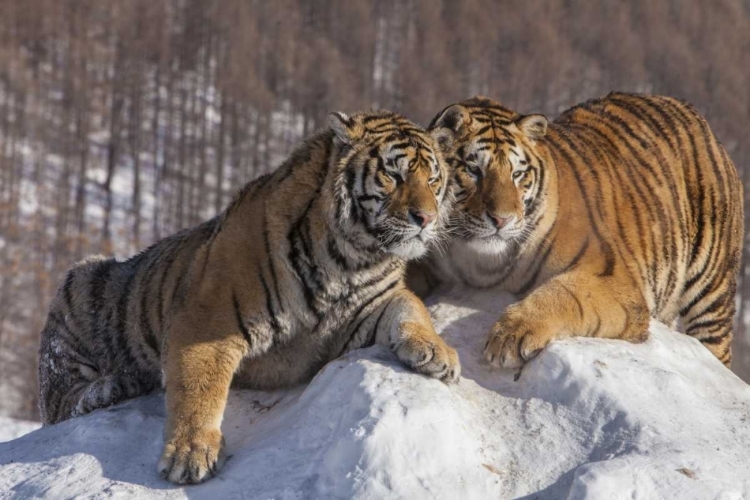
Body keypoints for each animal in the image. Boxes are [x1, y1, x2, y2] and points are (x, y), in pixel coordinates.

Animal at [38, 109, 462, 484]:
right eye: (393, 174)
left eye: (433, 179)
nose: (425, 219)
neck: (352, 260)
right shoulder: (205, 321)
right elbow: (199, 389)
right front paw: (190, 454)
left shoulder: (370, 308)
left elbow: (412, 308)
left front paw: (438, 354)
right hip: (82, 280)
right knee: (58, 400)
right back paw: (113, 386)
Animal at [418, 92, 748, 370]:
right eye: (473, 170)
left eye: (517, 174)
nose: (502, 219)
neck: (481, 262)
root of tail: (688, 108)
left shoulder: (610, 277)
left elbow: (561, 295)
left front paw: (509, 335)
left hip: (712, 291)